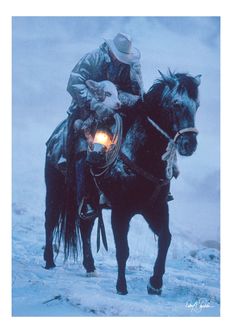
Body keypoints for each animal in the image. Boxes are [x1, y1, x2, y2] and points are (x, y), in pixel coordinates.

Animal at [44, 71, 201, 294]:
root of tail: (55, 137)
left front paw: (155, 284)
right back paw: (49, 261)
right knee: (50, 221)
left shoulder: (155, 207)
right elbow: (122, 250)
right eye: (176, 104)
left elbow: (165, 238)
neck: (141, 154)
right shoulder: (121, 211)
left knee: (85, 227)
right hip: (55, 190)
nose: (189, 144)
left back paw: (90, 267)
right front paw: (122, 287)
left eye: (197, 105)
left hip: (90, 203)